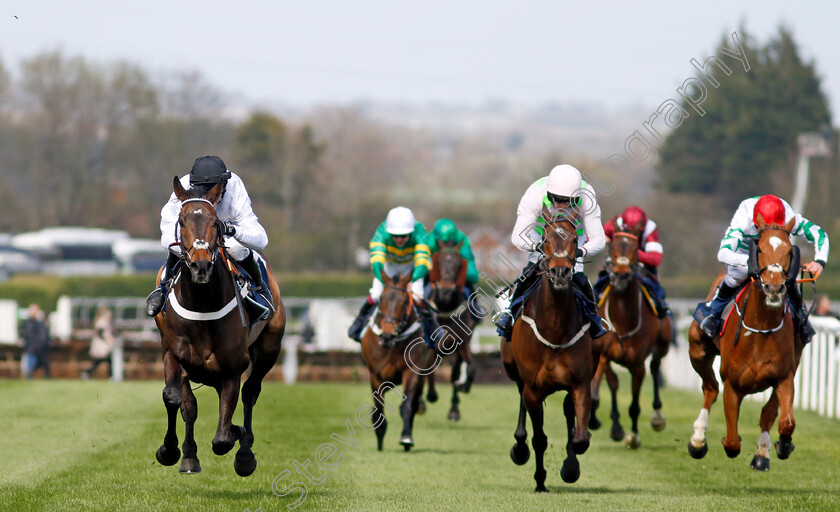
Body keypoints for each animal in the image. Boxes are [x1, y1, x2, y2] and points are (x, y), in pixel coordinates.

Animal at [156, 177, 288, 476]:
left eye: (216, 222)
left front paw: (238, 436)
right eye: (181, 220)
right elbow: (175, 399)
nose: (201, 267)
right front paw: (172, 451)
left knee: (250, 392)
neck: (203, 306)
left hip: (269, 348)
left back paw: (245, 452)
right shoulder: (174, 354)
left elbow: (222, 439)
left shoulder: (231, 370)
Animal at [360, 274, 434, 450]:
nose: (388, 335)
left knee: (414, 404)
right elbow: (378, 408)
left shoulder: (412, 371)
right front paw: (380, 438)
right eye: (381, 299)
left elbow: (407, 406)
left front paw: (406, 437)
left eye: (405, 301)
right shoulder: (375, 375)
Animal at [424, 242, 476, 422]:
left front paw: (464, 386)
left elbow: (469, 367)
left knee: (455, 371)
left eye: (459, 264)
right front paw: (431, 395)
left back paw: (454, 409)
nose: (445, 290)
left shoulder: (462, 342)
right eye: (438, 262)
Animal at [498, 211, 596, 492]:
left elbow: (580, 439)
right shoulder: (533, 388)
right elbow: (539, 438)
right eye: (544, 238)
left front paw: (570, 467)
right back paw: (519, 448)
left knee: (568, 412)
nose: (560, 271)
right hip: (513, 370)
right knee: (521, 400)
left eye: (574, 239)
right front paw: (540, 480)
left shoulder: (581, 383)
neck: (555, 330)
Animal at [588, 232, 672, 448]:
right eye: (612, 249)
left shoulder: (637, 366)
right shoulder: (603, 355)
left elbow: (634, 405)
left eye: (634, 251)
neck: (623, 320)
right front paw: (597, 421)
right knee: (614, 383)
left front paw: (633, 437)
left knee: (655, 366)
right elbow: (599, 391)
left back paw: (657, 417)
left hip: (662, 345)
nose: (621, 275)